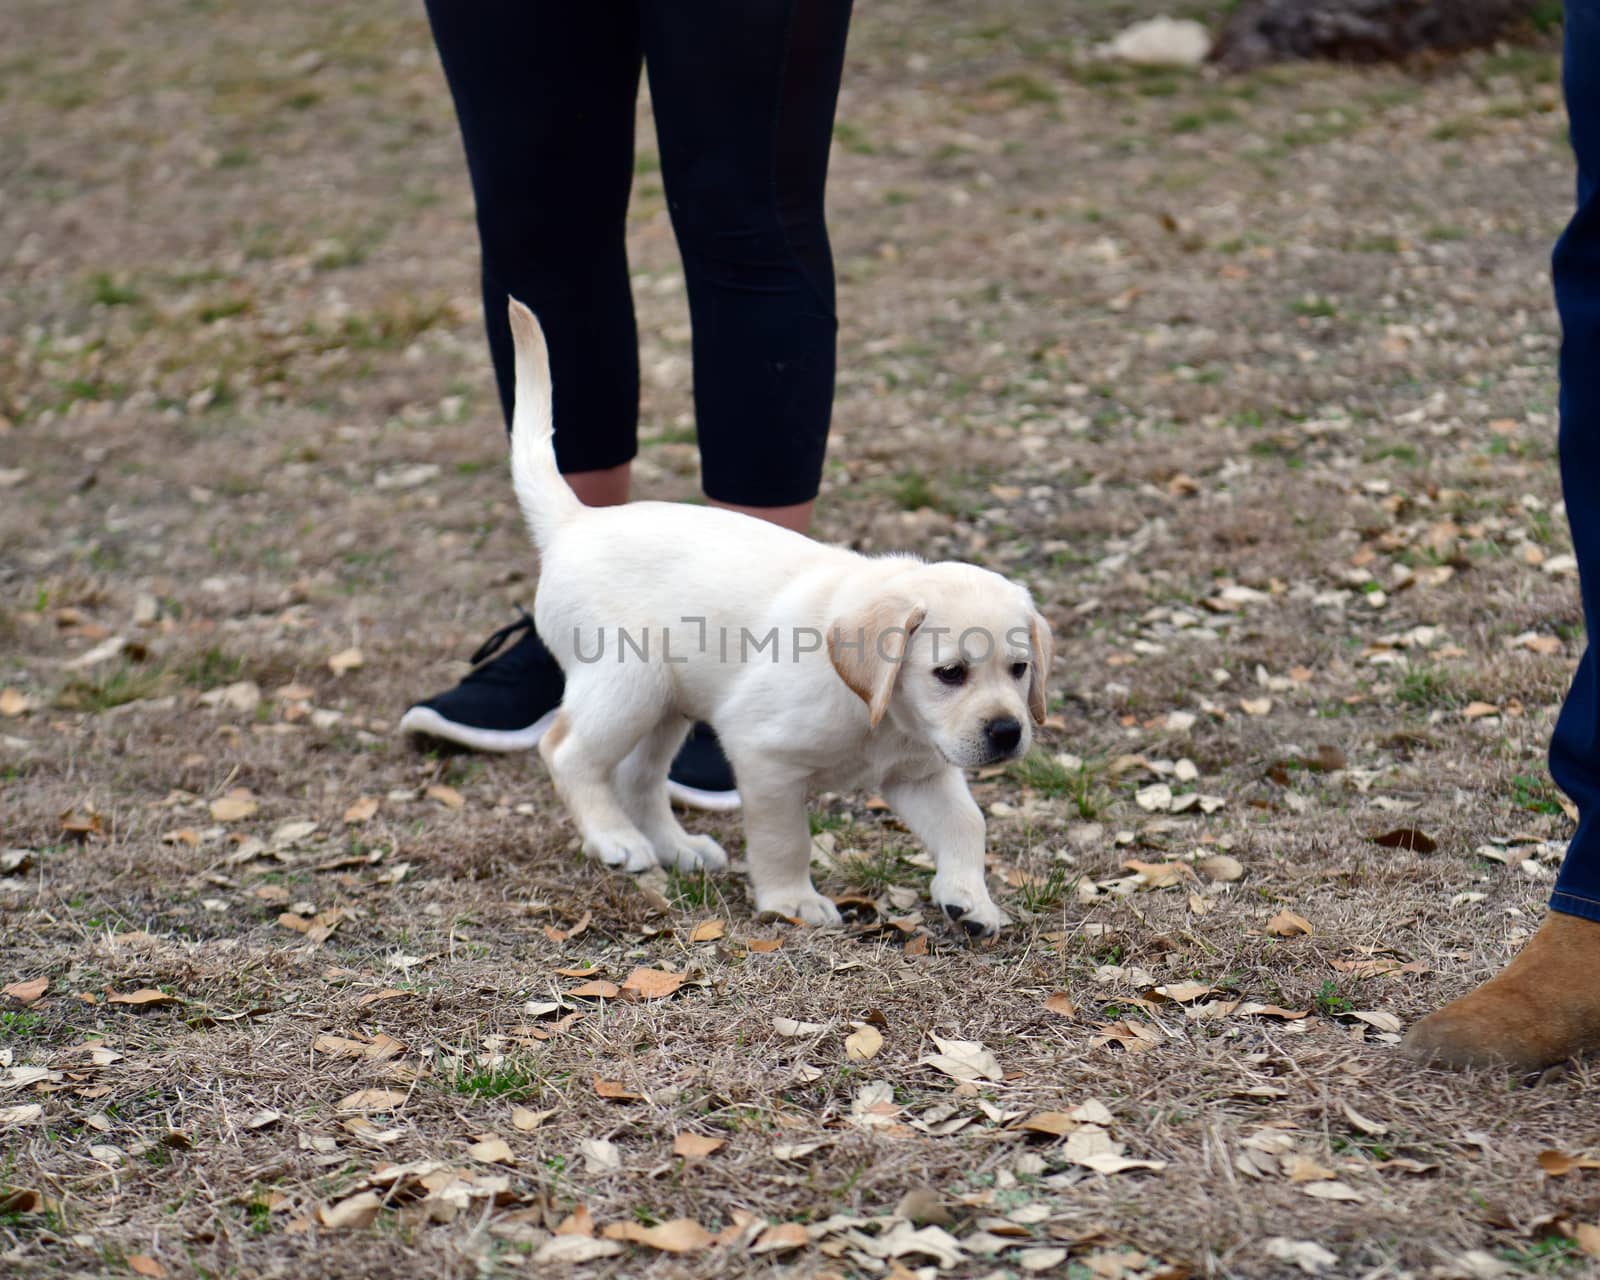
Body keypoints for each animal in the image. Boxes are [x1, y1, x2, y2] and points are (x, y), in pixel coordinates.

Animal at [508, 300, 1049, 940]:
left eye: (1019, 670)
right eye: (950, 674)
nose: (1008, 732)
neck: (880, 712)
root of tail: (576, 520)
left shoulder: (919, 773)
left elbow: (968, 821)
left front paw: (969, 899)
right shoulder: (763, 757)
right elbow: (785, 838)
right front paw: (792, 900)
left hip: (668, 701)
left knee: (639, 778)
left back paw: (678, 847)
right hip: (627, 684)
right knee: (567, 752)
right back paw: (615, 839)